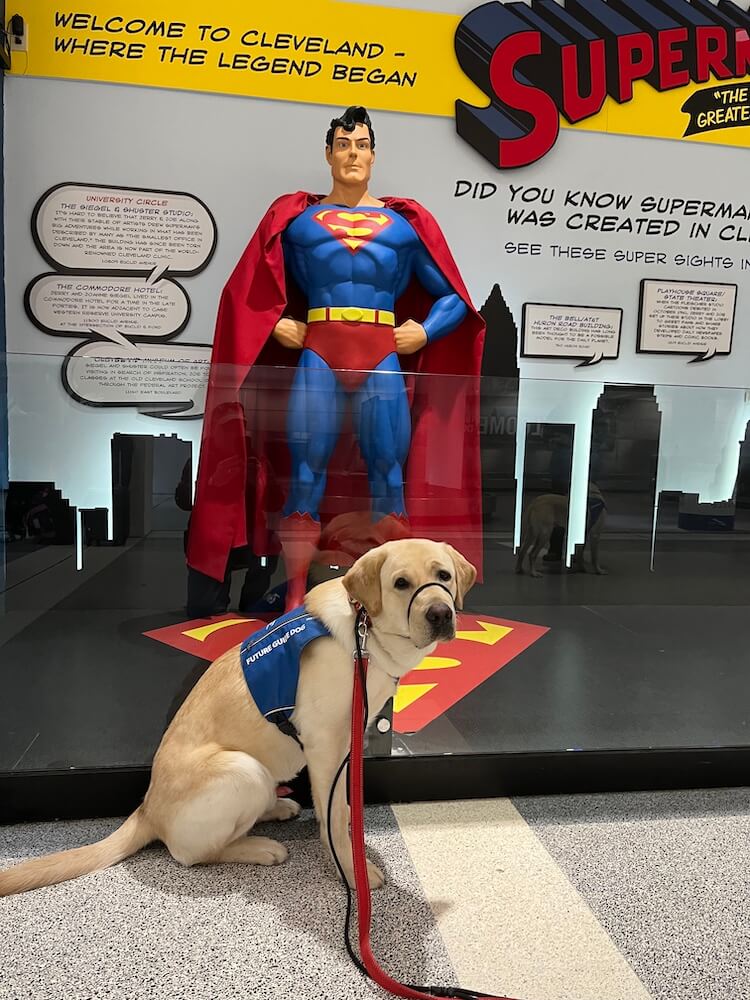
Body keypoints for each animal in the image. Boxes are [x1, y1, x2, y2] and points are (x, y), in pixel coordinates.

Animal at [1, 540, 476, 900]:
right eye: (401, 583)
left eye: (444, 576)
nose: (440, 613)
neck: (366, 633)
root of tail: (147, 810)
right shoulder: (326, 747)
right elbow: (333, 817)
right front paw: (351, 870)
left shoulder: (348, 745)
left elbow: (341, 808)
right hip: (242, 770)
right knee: (191, 854)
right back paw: (260, 848)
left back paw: (277, 808)